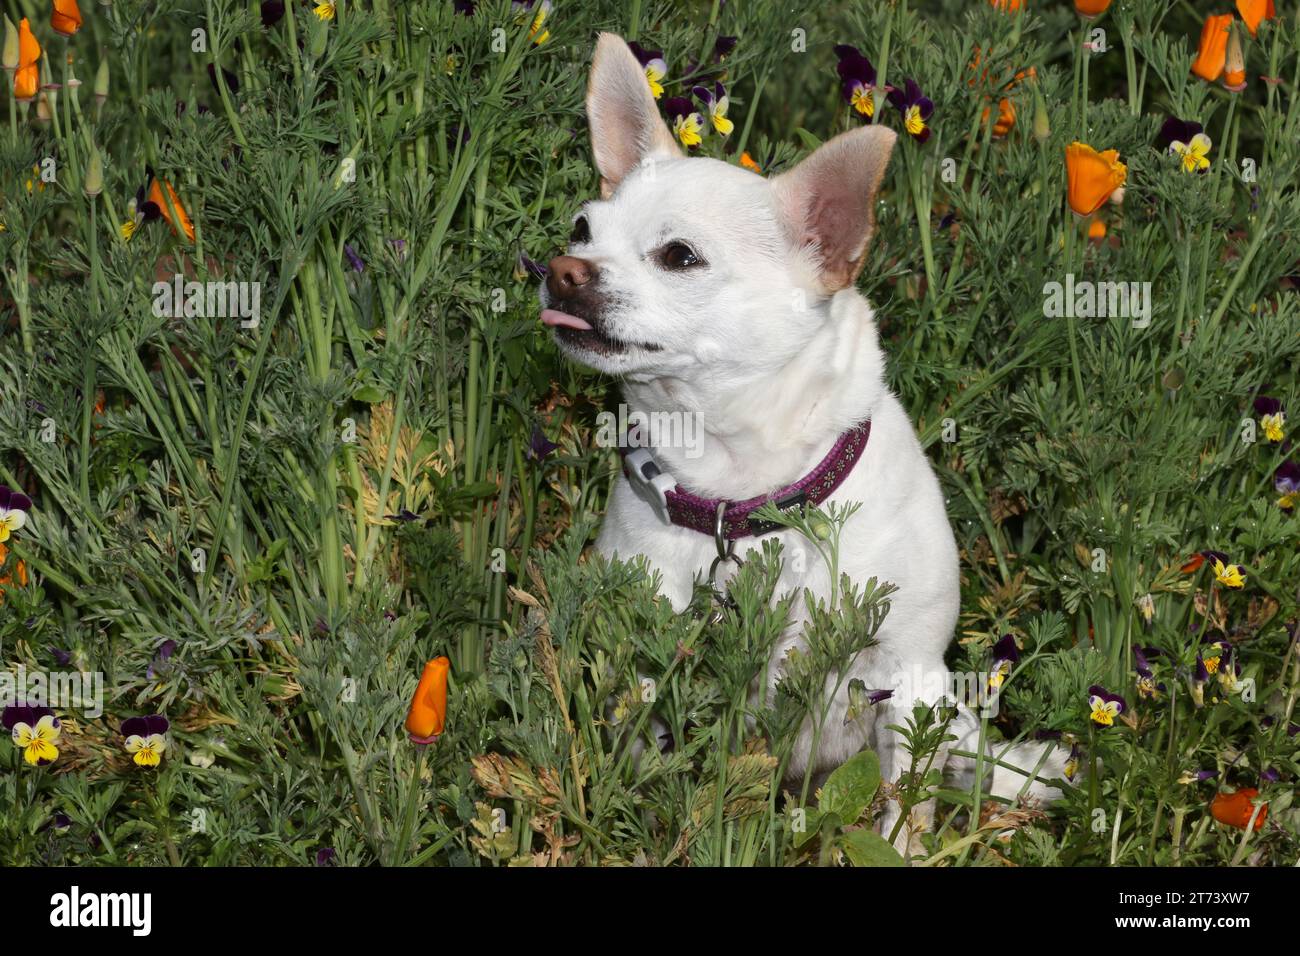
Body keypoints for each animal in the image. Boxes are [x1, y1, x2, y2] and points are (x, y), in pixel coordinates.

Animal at [540, 33, 1066, 858]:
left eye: (679, 256)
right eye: (582, 230)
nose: (562, 271)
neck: (740, 496)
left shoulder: (909, 673)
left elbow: (905, 803)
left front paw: (906, 848)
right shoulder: (650, 665)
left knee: (961, 753)